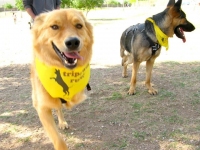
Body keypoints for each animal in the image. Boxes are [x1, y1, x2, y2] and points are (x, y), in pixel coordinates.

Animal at [30, 8, 94, 149]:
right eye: (54, 27)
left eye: (79, 26)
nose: (73, 42)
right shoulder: (42, 108)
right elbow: (58, 139)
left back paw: (62, 122)